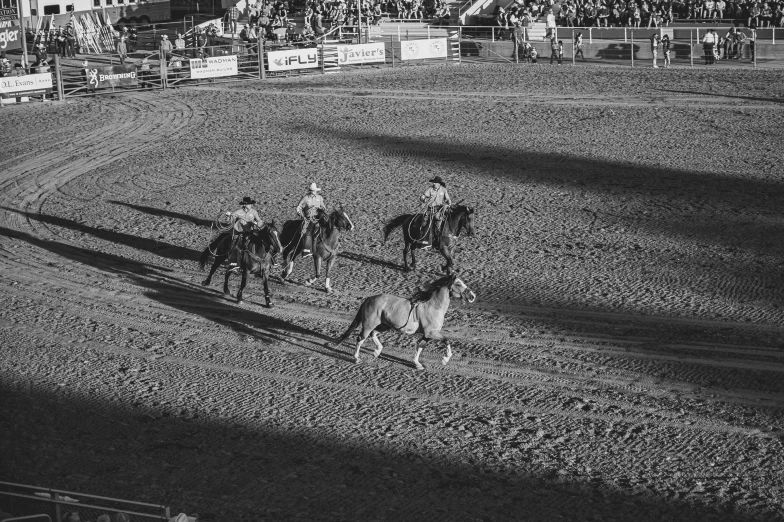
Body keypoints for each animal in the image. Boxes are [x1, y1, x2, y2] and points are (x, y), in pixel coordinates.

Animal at [332, 272, 474, 370]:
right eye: (459, 283)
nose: (472, 296)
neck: (433, 306)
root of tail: (369, 298)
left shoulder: (427, 335)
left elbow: (420, 346)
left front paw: (417, 364)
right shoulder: (431, 333)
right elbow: (446, 340)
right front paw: (445, 359)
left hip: (384, 325)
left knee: (373, 334)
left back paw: (377, 351)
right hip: (368, 325)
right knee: (360, 338)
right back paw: (357, 359)